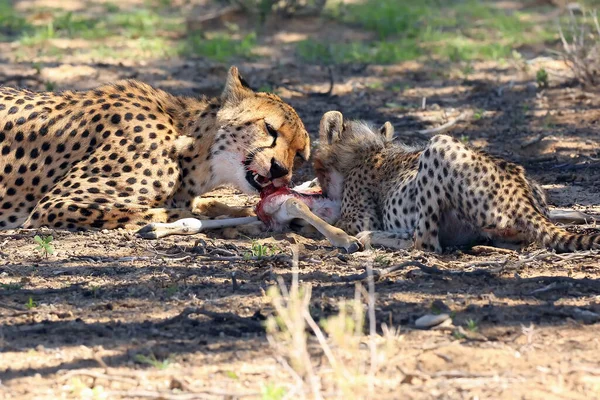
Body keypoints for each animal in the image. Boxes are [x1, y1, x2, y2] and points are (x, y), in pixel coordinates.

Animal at [0, 67, 310, 230]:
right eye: (269, 128)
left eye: (299, 155)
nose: (279, 170)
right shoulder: (56, 205)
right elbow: (179, 213)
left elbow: (207, 204)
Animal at [314, 111, 600, 252]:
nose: (322, 188)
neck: (366, 149)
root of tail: (525, 197)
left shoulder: (360, 216)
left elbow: (341, 223)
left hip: (439, 144)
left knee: (425, 243)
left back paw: (373, 237)